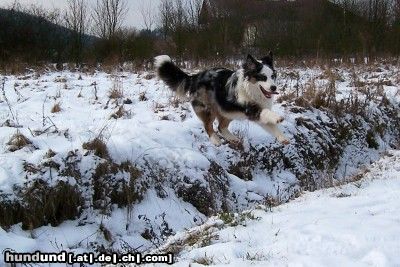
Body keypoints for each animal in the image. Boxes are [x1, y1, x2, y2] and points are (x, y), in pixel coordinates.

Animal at [155, 52, 290, 148]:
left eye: (273, 76)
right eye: (262, 77)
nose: (274, 88)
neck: (251, 90)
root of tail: (197, 76)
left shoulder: (258, 114)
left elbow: (271, 126)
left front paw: (282, 138)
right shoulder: (250, 108)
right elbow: (266, 113)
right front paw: (278, 118)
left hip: (226, 110)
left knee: (221, 127)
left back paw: (233, 138)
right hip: (208, 108)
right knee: (208, 126)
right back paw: (215, 140)